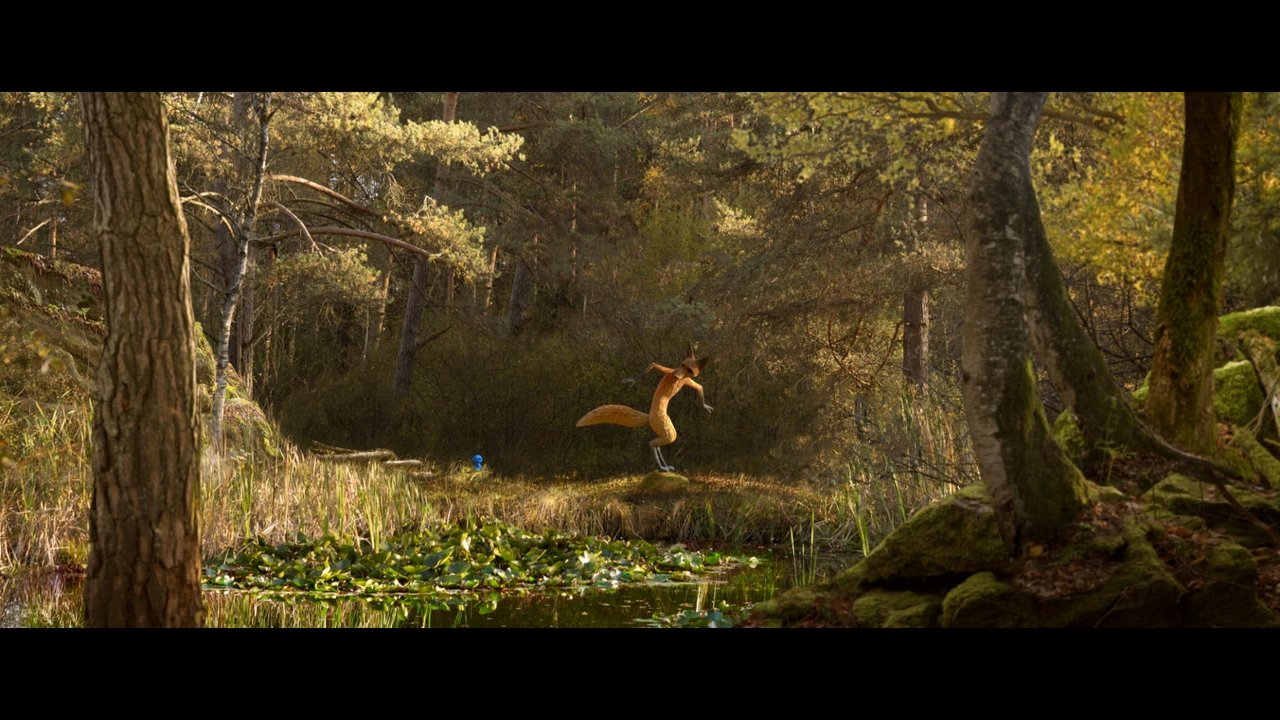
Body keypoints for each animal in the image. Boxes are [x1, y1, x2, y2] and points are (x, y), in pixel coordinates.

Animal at [576, 345, 713, 472]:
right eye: (682, 364)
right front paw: (632, 381)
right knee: (653, 443)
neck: (679, 377)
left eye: (689, 369)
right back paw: (662, 467)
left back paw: (665, 466)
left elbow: (699, 387)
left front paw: (705, 406)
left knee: (657, 444)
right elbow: (654, 364)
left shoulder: (686, 379)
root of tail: (649, 416)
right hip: (669, 431)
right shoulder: (671, 371)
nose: (676, 375)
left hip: (664, 429)